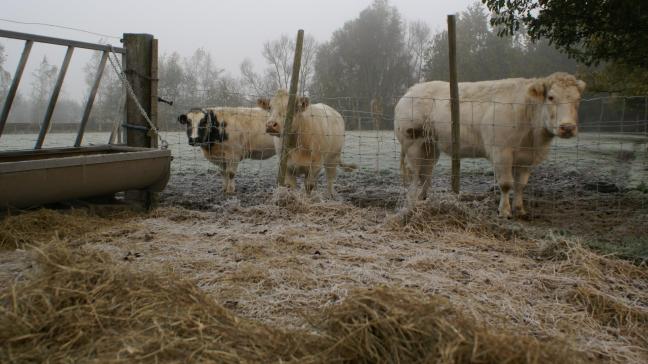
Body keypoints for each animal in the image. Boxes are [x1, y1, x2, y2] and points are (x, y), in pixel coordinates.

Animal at [394, 72, 588, 218]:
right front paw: (505, 211)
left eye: (578, 99)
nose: (568, 127)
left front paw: (520, 210)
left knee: (425, 174)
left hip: (430, 147)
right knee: (415, 175)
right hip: (413, 144)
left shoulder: (527, 157)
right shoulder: (501, 152)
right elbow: (506, 184)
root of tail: (411, 91)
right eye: (551, 97)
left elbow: (520, 185)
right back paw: (412, 203)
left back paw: (423, 200)